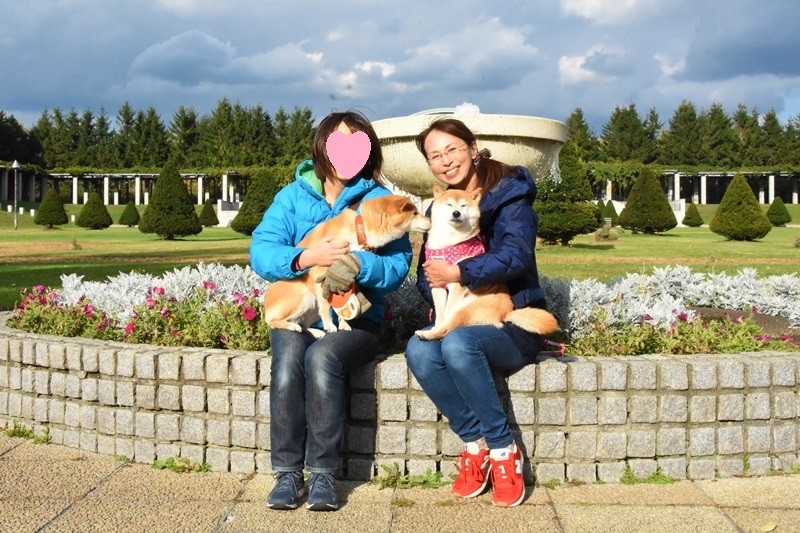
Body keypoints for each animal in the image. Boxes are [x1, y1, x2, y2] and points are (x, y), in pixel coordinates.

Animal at [263, 194, 431, 337]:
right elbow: (326, 306)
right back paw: (292, 326)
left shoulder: (343, 278)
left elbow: (342, 302)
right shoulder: (321, 273)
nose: (430, 219)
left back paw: (314, 331)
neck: (359, 230)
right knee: (273, 321)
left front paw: (343, 324)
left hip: (311, 306)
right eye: (415, 213)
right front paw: (330, 325)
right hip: (304, 297)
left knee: (302, 324)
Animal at [415, 184, 559, 340]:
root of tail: (506, 313)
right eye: (449, 204)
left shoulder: (455, 285)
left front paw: (438, 329)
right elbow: (440, 313)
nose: (456, 213)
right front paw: (436, 325)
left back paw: (430, 334)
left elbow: (447, 313)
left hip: (465, 307)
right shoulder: (436, 284)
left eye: (464, 205)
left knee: (449, 326)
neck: (447, 240)